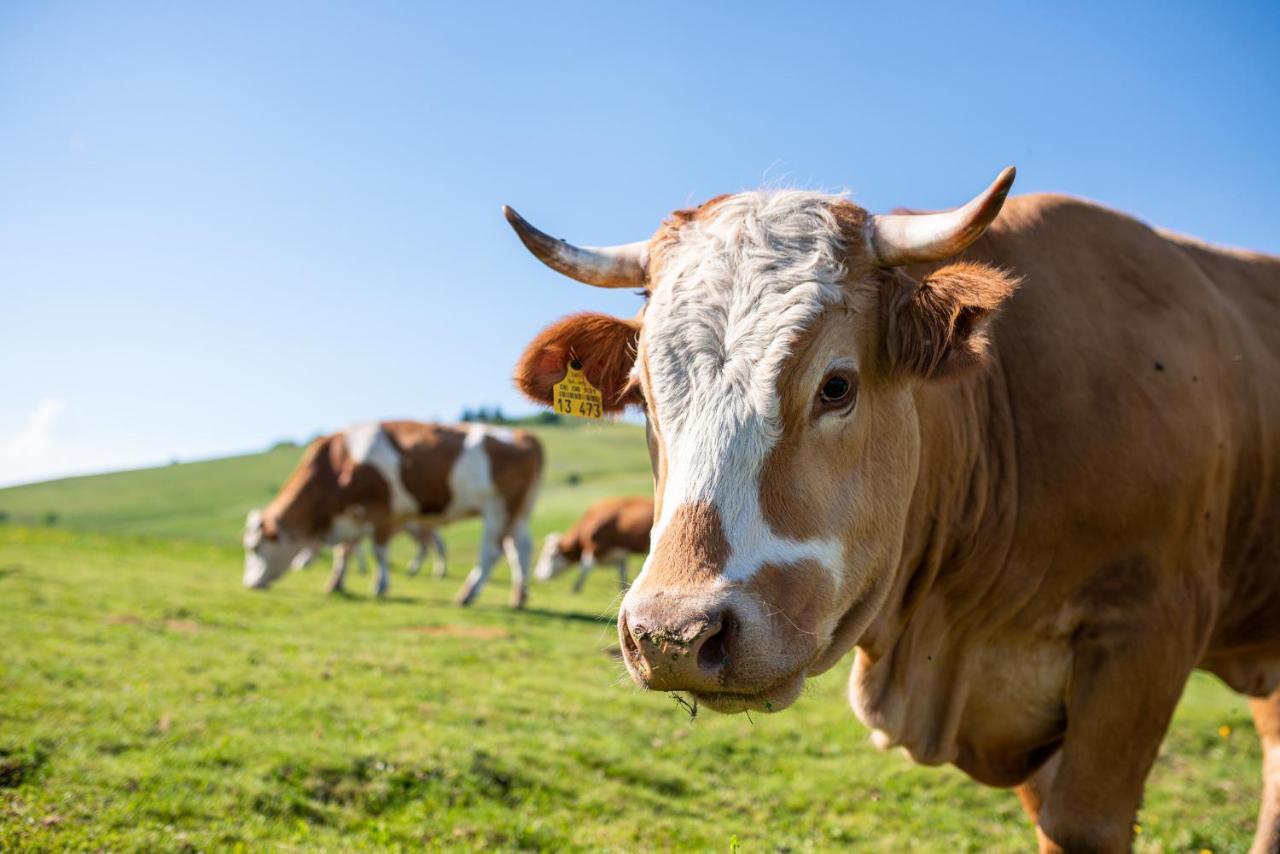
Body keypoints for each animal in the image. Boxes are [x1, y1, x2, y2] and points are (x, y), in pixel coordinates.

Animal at [243, 419, 540, 606]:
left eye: (255, 548)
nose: (248, 584)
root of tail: (524, 435)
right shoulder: (352, 515)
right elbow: (345, 551)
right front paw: (335, 584)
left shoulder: (381, 510)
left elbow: (378, 551)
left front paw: (380, 586)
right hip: (519, 511)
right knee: (521, 549)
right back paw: (519, 597)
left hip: (498, 506)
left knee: (492, 551)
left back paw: (467, 594)